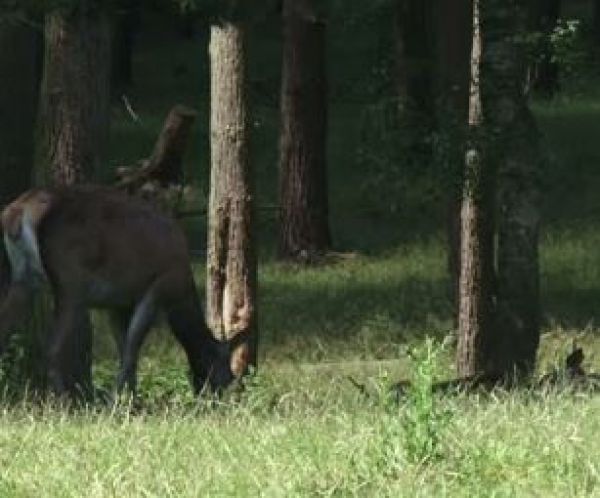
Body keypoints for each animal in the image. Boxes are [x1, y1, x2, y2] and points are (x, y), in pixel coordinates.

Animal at [0, 186, 248, 396]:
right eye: (223, 365)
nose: (231, 390)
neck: (180, 292)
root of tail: (18, 212)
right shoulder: (157, 287)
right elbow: (132, 347)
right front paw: (119, 400)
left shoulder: (117, 303)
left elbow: (123, 346)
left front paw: (130, 398)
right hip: (70, 284)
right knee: (52, 348)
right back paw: (63, 401)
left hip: (24, 279)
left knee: (7, 329)